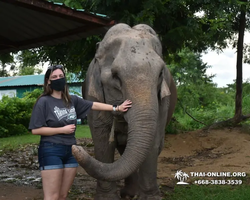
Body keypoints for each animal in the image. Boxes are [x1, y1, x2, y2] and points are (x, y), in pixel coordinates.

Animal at [72, 23, 178, 198]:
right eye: (115, 76)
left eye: (160, 74)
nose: (76, 148)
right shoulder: (93, 92)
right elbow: (102, 140)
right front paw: (106, 198)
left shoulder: (164, 99)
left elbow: (153, 139)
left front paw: (150, 198)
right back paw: (129, 193)